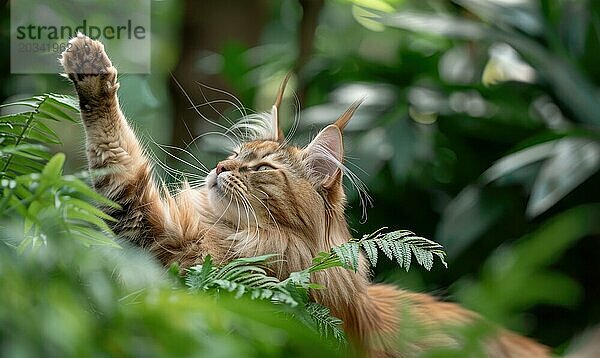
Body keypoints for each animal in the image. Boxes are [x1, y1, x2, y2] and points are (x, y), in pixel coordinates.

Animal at [59, 32, 548, 356]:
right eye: (234, 155)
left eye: (260, 168)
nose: (220, 168)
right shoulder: (154, 238)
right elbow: (116, 159)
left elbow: (119, 159)